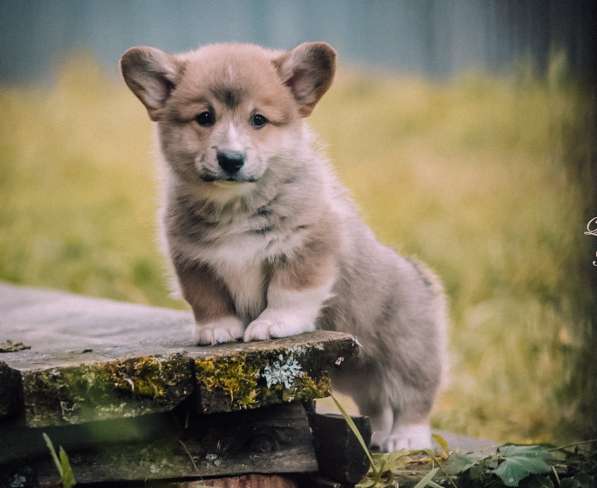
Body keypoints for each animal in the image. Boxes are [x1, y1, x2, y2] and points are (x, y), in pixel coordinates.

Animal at [121, 42, 444, 450]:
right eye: (204, 117)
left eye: (258, 120)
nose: (231, 159)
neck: (236, 205)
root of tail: (419, 279)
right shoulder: (193, 262)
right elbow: (209, 300)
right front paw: (217, 330)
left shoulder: (306, 247)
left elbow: (288, 293)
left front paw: (272, 324)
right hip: (357, 375)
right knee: (376, 407)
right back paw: (378, 437)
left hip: (407, 354)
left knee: (413, 399)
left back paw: (405, 439)